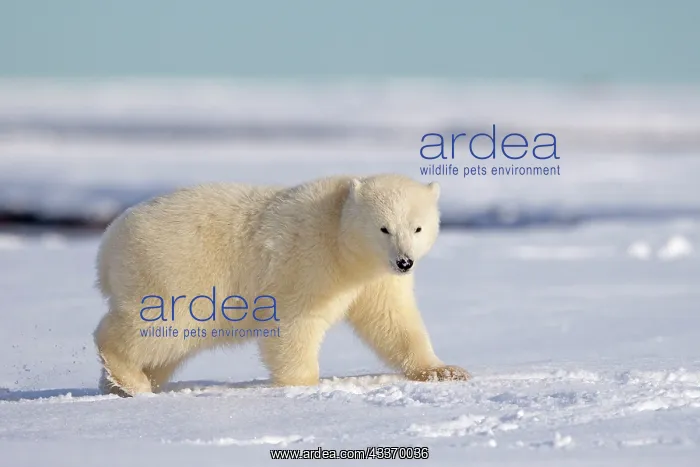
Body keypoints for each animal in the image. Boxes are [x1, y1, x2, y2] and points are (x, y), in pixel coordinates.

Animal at [93, 173, 470, 396]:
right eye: (384, 228)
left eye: (417, 227)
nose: (404, 262)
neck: (339, 234)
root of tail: (107, 245)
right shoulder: (309, 262)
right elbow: (293, 324)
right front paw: (302, 386)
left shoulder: (373, 278)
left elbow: (393, 321)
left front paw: (445, 371)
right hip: (176, 272)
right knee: (155, 327)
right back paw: (133, 381)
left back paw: (122, 385)